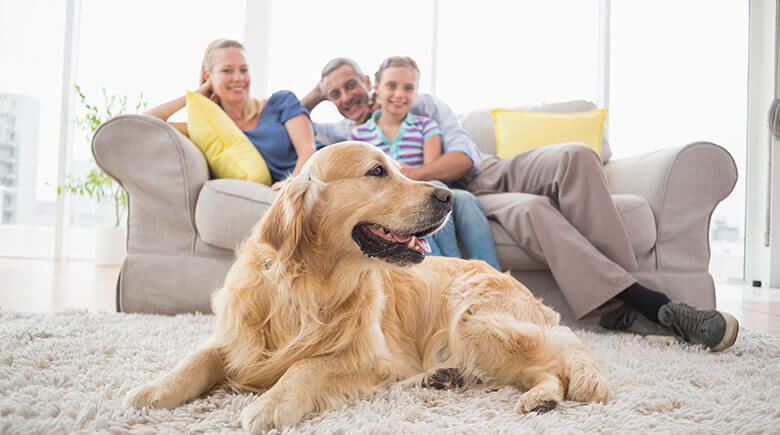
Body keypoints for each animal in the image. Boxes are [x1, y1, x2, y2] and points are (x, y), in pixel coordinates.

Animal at [125, 141, 612, 430]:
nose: (446, 196)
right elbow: (198, 358)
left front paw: (270, 404)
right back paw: (443, 377)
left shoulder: (369, 358)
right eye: (377, 172)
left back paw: (542, 398)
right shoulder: (237, 337)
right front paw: (152, 391)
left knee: (559, 364)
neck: (310, 286)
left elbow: (309, 365)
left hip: (474, 321)